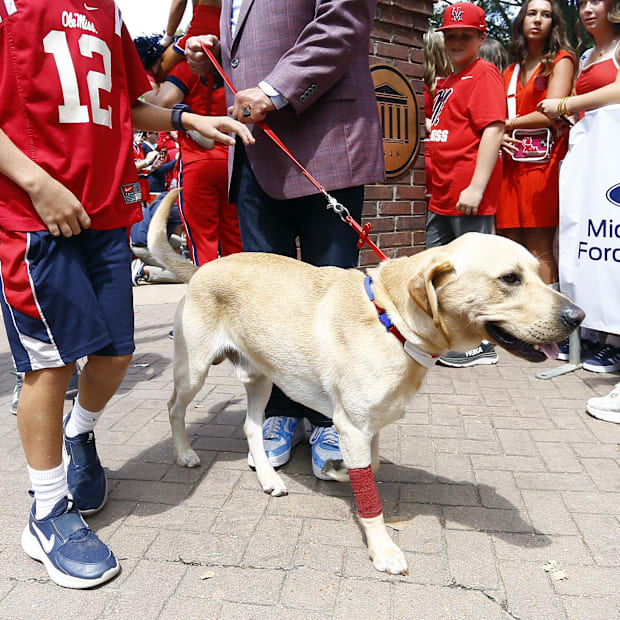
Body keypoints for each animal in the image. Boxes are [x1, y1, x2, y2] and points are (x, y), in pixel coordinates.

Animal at [148, 190, 584, 576]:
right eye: (510, 278)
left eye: (539, 274)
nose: (578, 316)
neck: (393, 321)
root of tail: (202, 267)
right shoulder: (353, 425)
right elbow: (370, 499)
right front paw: (383, 548)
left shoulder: (366, 426)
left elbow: (368, 468)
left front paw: (339, 470)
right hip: (195, 370)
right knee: (173, 407)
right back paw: (185, 453)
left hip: (261, 379)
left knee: (251, 427)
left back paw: (268, 476)